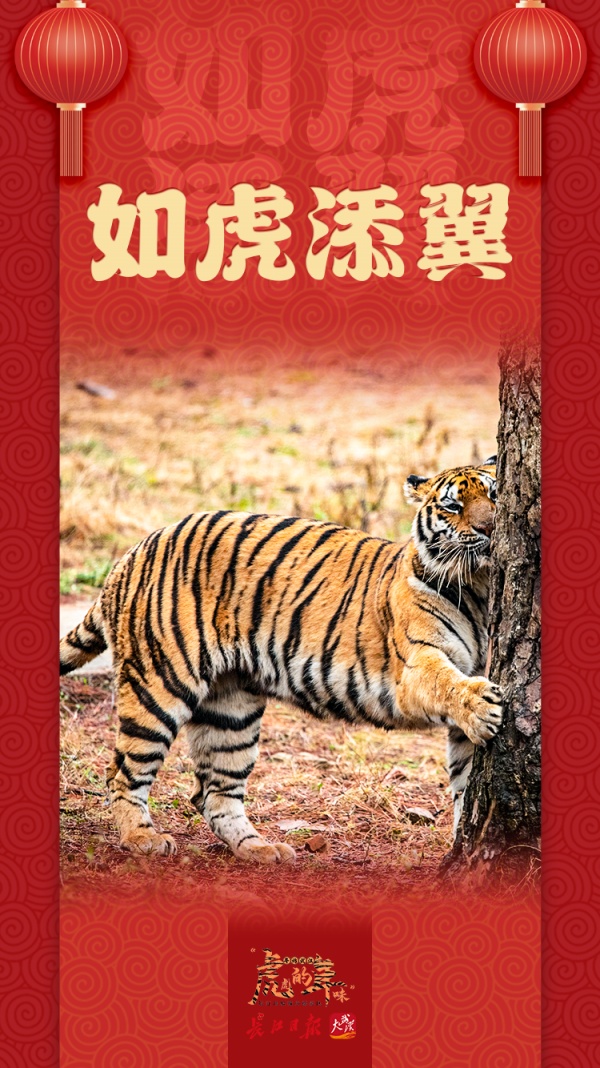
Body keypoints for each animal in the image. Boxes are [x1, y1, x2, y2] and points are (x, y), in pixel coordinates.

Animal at [60, 459, 501, 864]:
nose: (490, 529)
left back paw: (259, 849)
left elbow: (464, 784)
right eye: (453, 506)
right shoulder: (414, 664)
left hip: (231, 708)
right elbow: (447, 683)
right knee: (122, 773)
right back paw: (142, 838)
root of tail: (133, 552)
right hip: (159, 686)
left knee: (213, 792)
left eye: (495, 496)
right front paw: (482, 706)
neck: (481, 590)